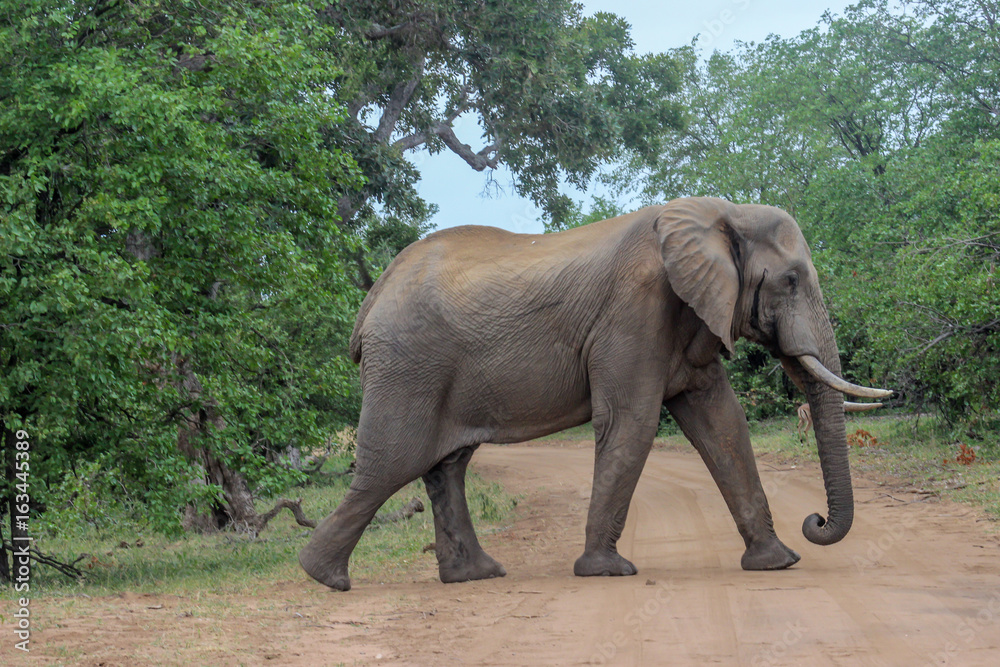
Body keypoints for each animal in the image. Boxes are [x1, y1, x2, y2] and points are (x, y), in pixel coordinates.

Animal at [299, 197, 892, 591]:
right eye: (790, 281)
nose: (815, 521)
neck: (720, 212)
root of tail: (372, 299)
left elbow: (723, 423)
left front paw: (778, 562)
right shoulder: (636, 308)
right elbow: (633, 422)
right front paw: (607, 573)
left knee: (447, 465)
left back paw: (475, 576)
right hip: (408, 365)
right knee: (392, 464)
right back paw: (326, 578)